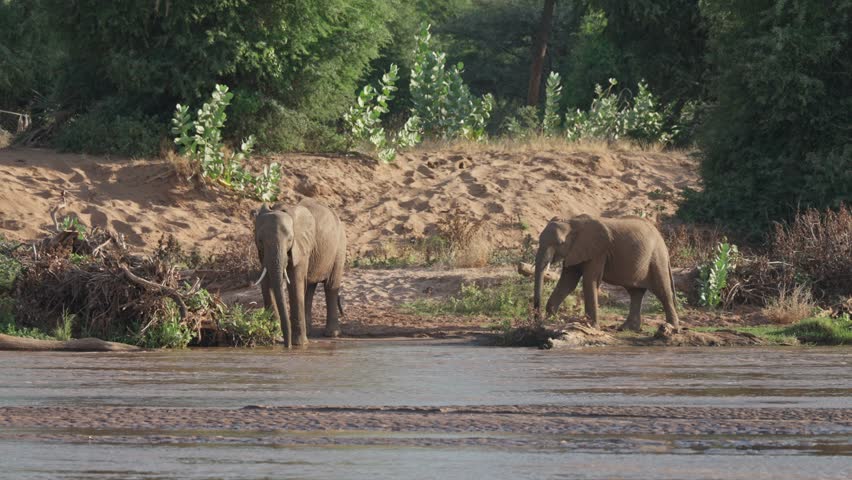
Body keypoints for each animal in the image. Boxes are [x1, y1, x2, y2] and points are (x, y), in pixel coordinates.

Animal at [253, 198, 347, 347]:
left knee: (330, 286)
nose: (287, 345)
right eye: (260, 241)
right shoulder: (262, 252)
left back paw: (332, 334)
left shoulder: (301, 246)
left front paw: (299, 344)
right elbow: (267, 282)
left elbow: (295, 282)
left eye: (290, 240)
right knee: (309, 288)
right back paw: (308, 331)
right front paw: (277, 338)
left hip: (339, 246)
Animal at [533, 214, 679, 332]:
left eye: (560, 243)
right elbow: (568, 282)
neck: (572, 221)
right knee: (635, 293)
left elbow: (589, 281)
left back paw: (671, 327)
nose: (536, 321)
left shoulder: (598, 251)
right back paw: (626, 328)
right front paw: (551, 320)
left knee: (662, 290)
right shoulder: (575, 250)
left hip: (657, 257)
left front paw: (591, 326)